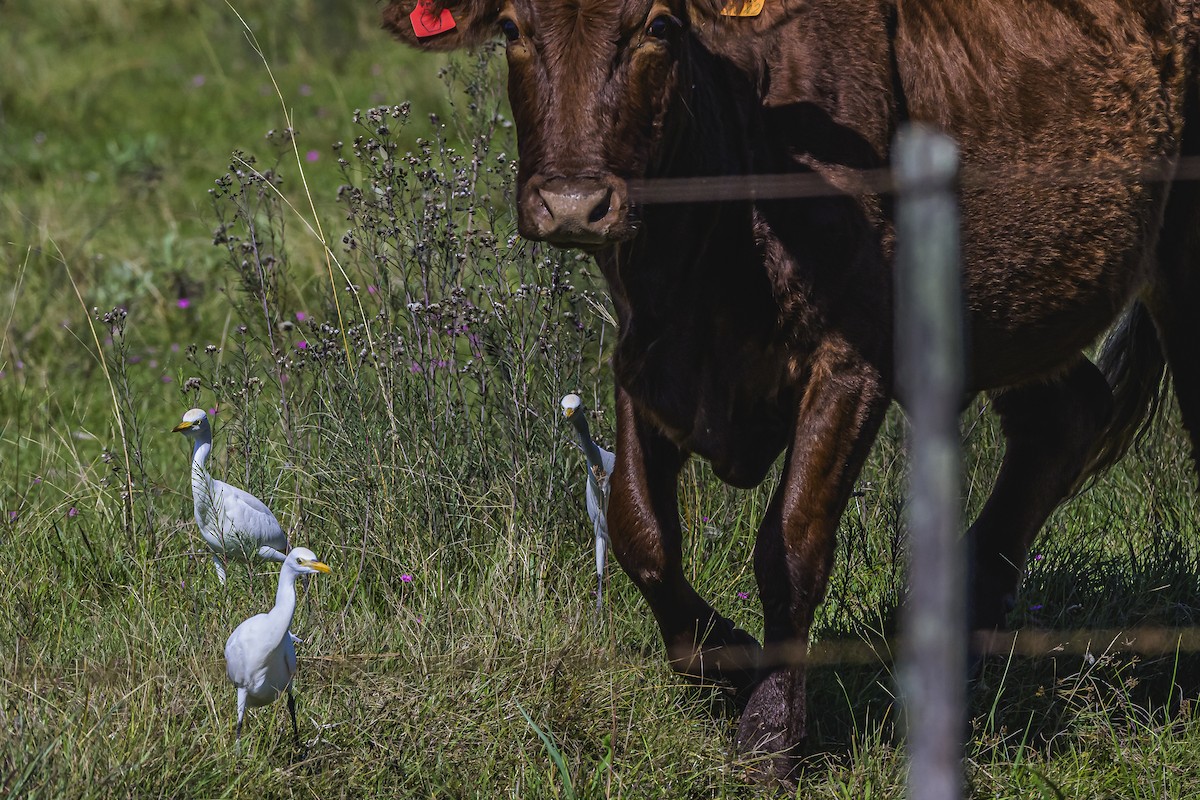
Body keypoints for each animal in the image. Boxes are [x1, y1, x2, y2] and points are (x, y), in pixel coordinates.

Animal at [386, 0, 1200, 782]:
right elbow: (638, 529)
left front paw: (772, 731)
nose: (573, 203)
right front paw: (725, 659)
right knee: (1063, 418)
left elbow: (791, 544)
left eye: (658, 25)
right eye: (512, 28)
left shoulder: (850, 364)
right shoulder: (646, 359)